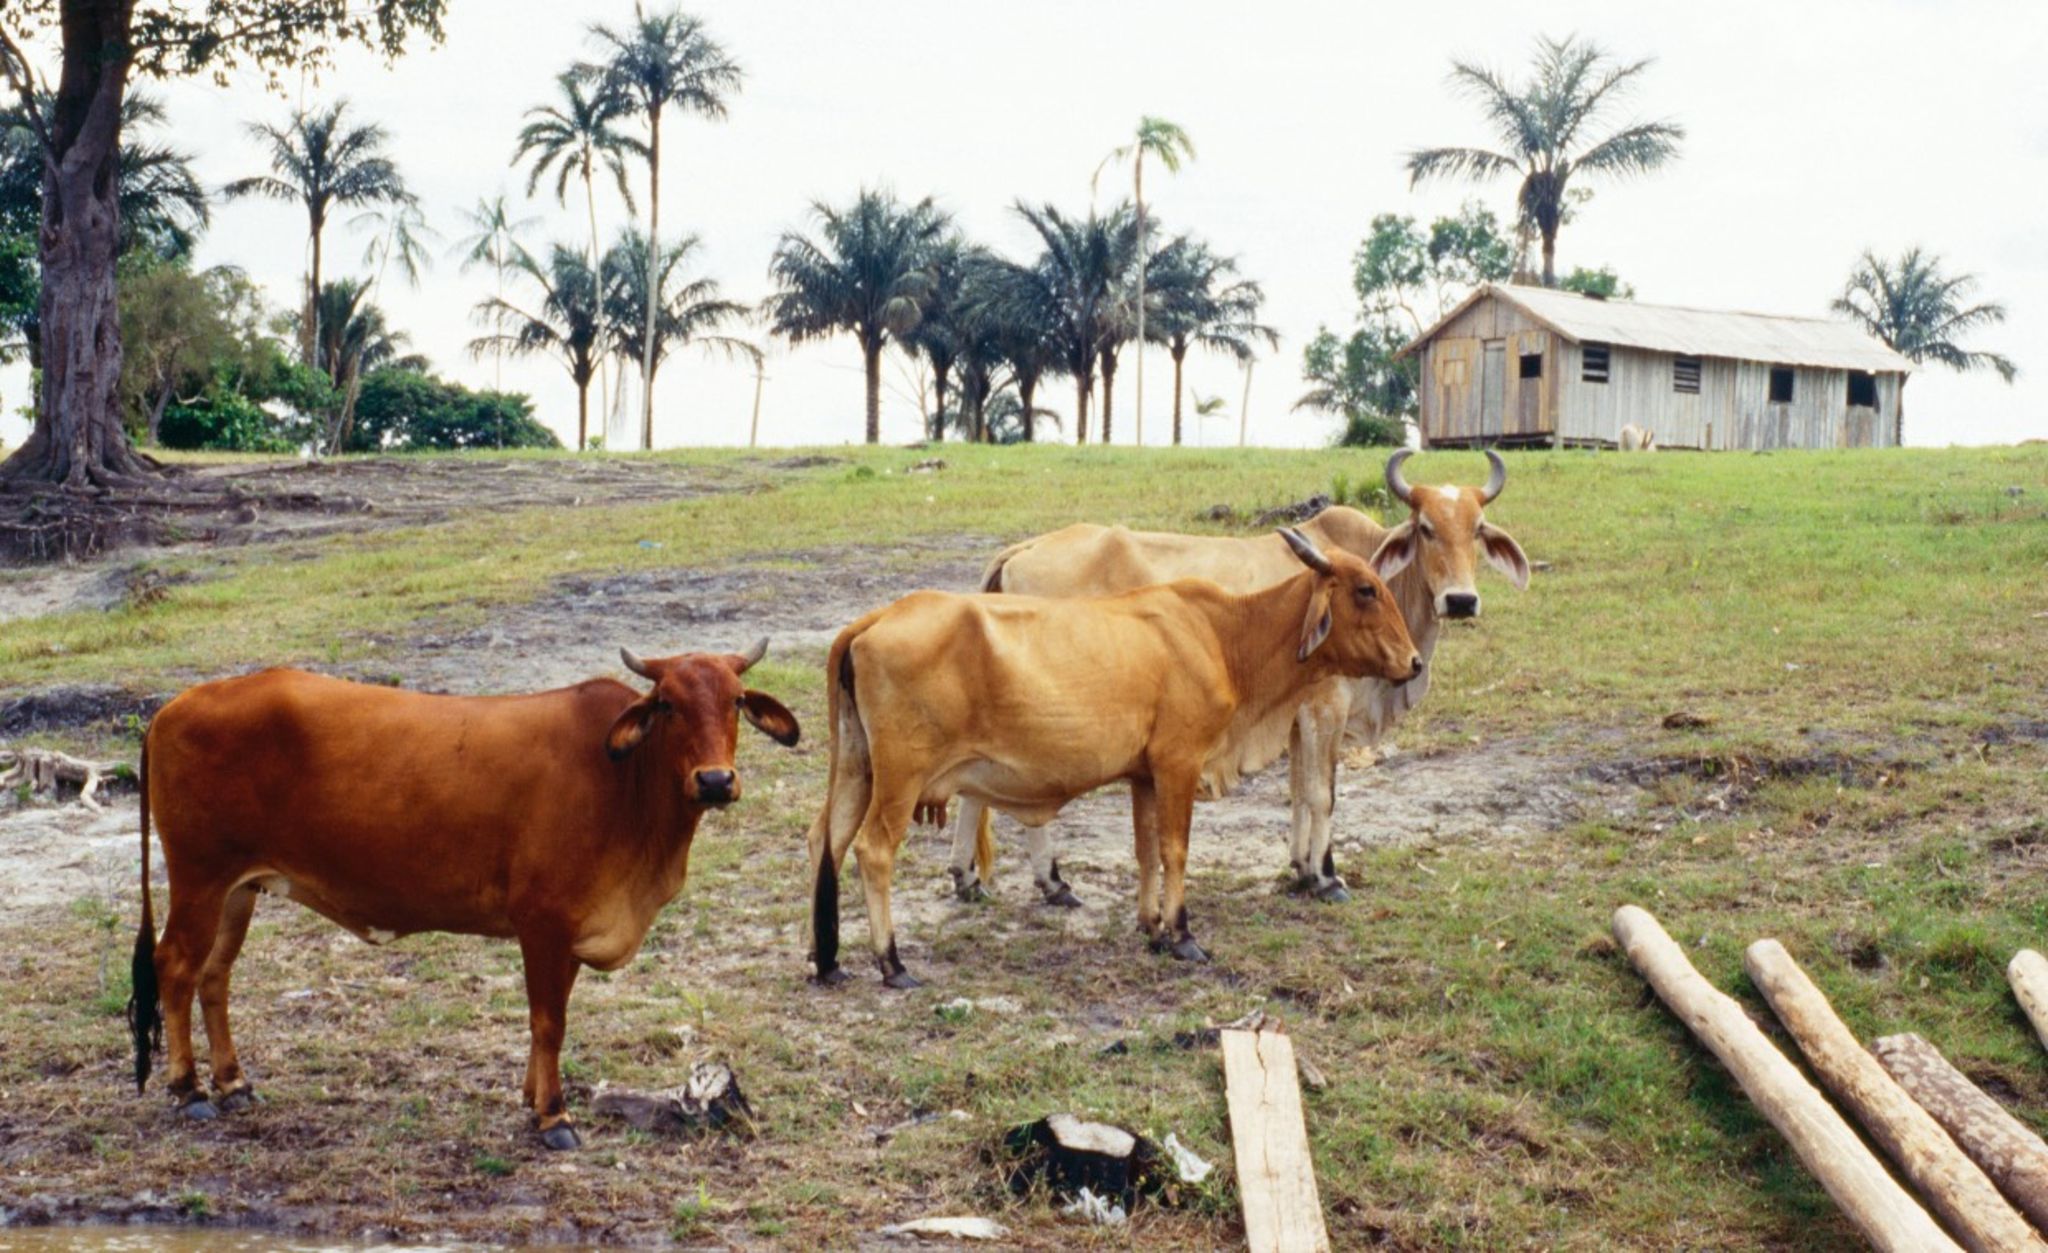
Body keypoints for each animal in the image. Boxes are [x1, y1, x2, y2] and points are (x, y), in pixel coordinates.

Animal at [126, 641, 800, 1150]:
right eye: (667, 704)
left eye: (736, 701)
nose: (714, 781)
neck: (624, 781)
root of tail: (175, 705)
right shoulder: (544, 923)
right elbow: (548, 1020)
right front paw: (553, 1115)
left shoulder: (570, 931)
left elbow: (548, 1019)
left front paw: (532, 1097)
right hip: (200, 879)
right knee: (176, 967)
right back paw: (188, 1090)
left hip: (239, 890)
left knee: (214, 976)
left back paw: (233, 1083)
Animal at [805, 529, 1422, 989]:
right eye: (1366, 589)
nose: (1414, 661)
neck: (1222, 635)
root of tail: (874, 620)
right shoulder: (1179, 764)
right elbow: (1175, 850)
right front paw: (1182, 933)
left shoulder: (1144, 776)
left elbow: (1146, 851)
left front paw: (1150, 926)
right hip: (900, 778)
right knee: (873, 850)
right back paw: (891, 961)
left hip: (857, 769)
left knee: (826, 840)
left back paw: (828, 957)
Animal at [947, 449, 1529, 905]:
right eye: (1426, 528)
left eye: (1478, 531)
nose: (1460, 600)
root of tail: (1024, 549)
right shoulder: (1326, 706)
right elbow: (1322, 793)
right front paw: (1326, 877)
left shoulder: (1293, 717)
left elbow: (1297, 793)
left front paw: (1301, 869)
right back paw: (1050, 881)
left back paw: (969, 878)